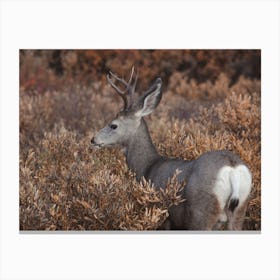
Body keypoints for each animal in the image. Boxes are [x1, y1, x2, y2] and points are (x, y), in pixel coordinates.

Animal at [91, 67, 253, 230]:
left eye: (113, 125)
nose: (93, 140)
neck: (147, 167)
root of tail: (232, 169)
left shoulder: (164, 216)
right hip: (239, 211)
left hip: (201, 213)